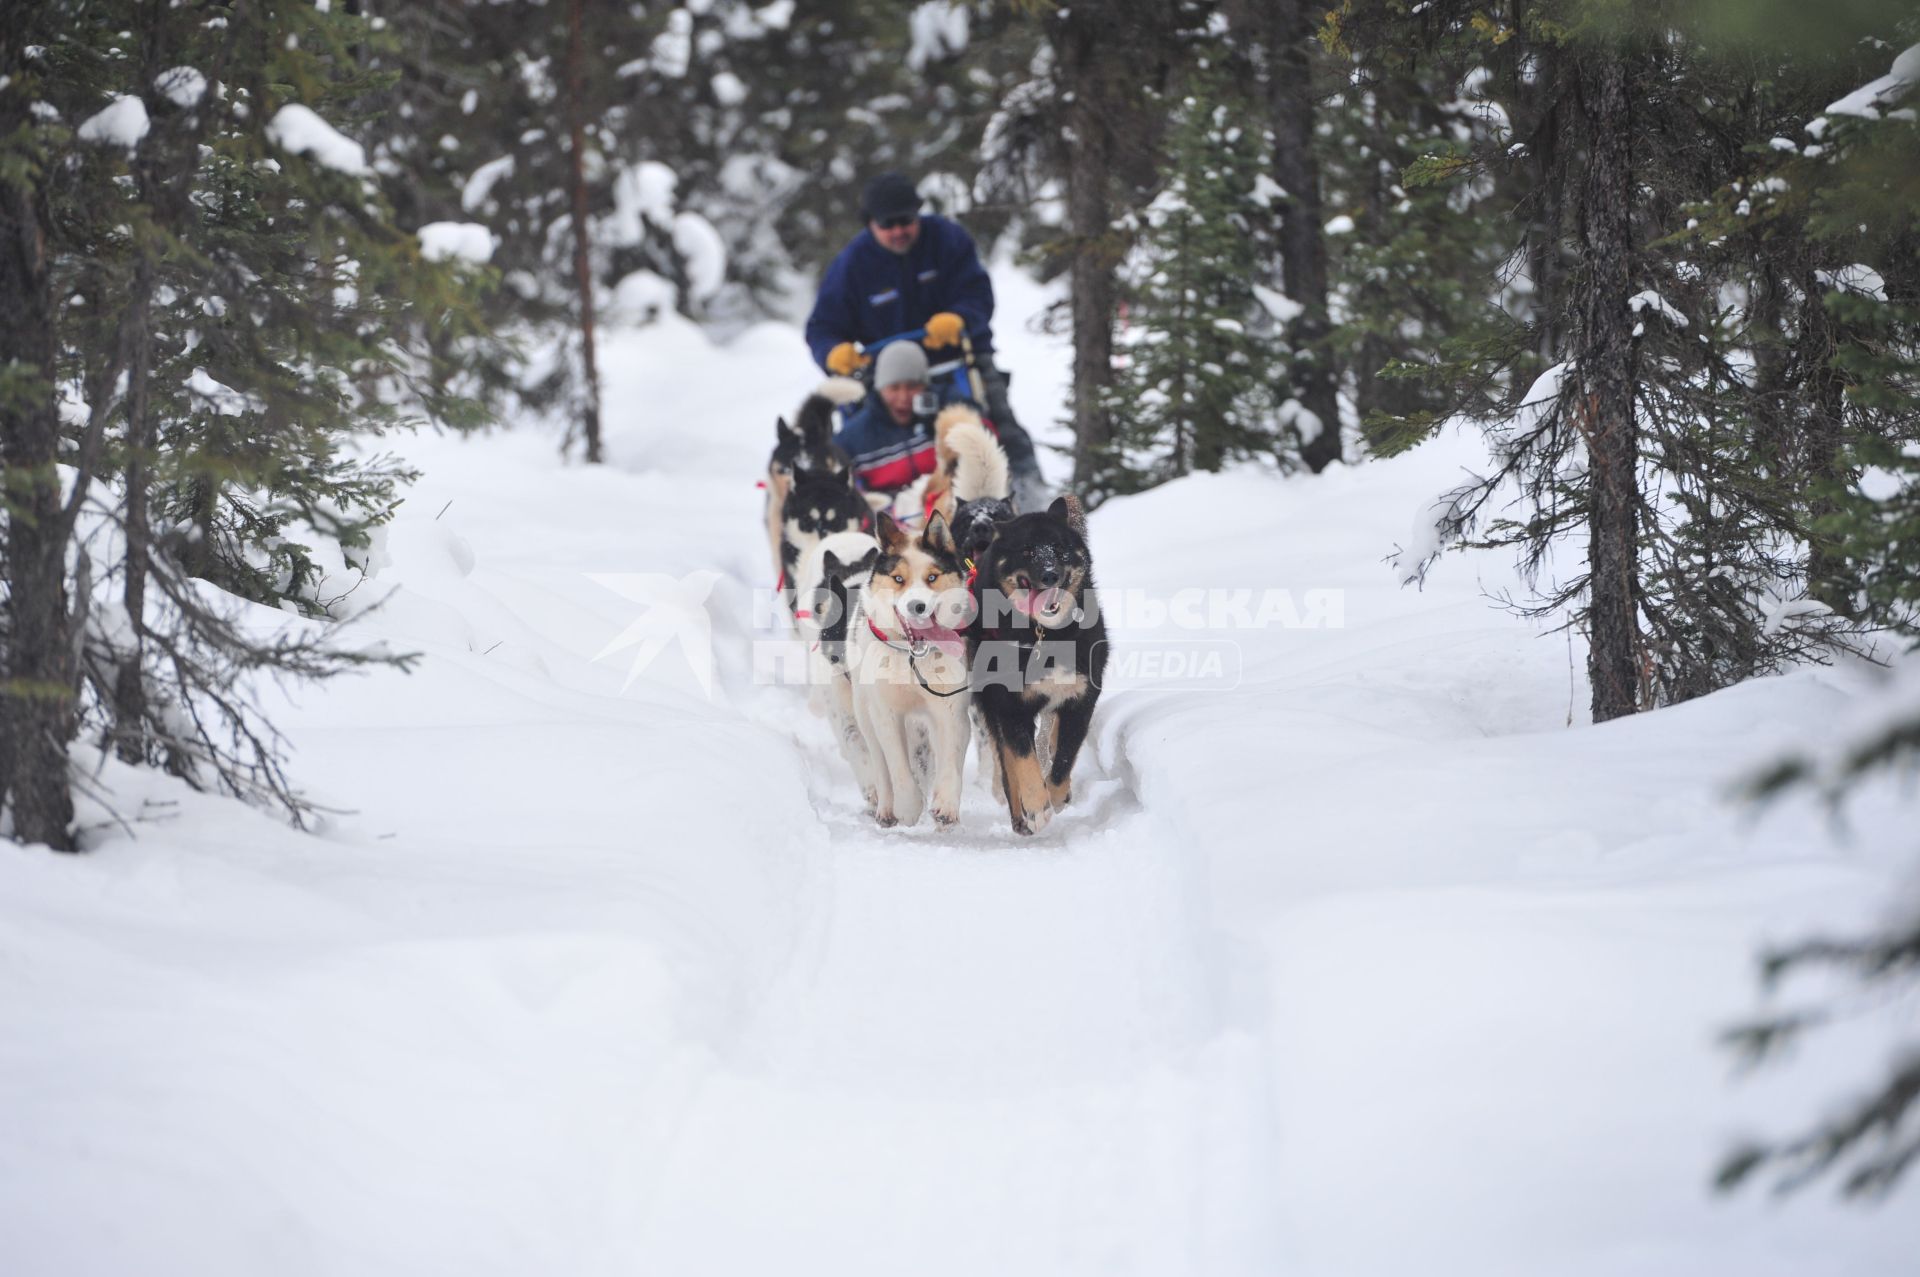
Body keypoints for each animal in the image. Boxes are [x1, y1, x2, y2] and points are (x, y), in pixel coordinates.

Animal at [852, 506, 975, 825]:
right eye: (898, 579)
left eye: (932, 577)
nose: (916, 606)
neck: (912, 659)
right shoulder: (885, 713)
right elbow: (897, 765)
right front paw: (908, 806)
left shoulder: (951, 708)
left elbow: (951, 758)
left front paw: (945, 804)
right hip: (865, 712)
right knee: (881, 765)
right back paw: (886, 808)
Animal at [967, 495, 1105, 837]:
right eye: (1027, 551)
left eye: (1058, 548)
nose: (1050, 575)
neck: (1043, 635)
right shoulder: (1009, 707)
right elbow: (1023, 760)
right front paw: (1036, 808)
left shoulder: (1080, 701)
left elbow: (1064, 759)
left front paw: (1055, 797)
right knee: (1006, 761)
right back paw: (1021, 817)